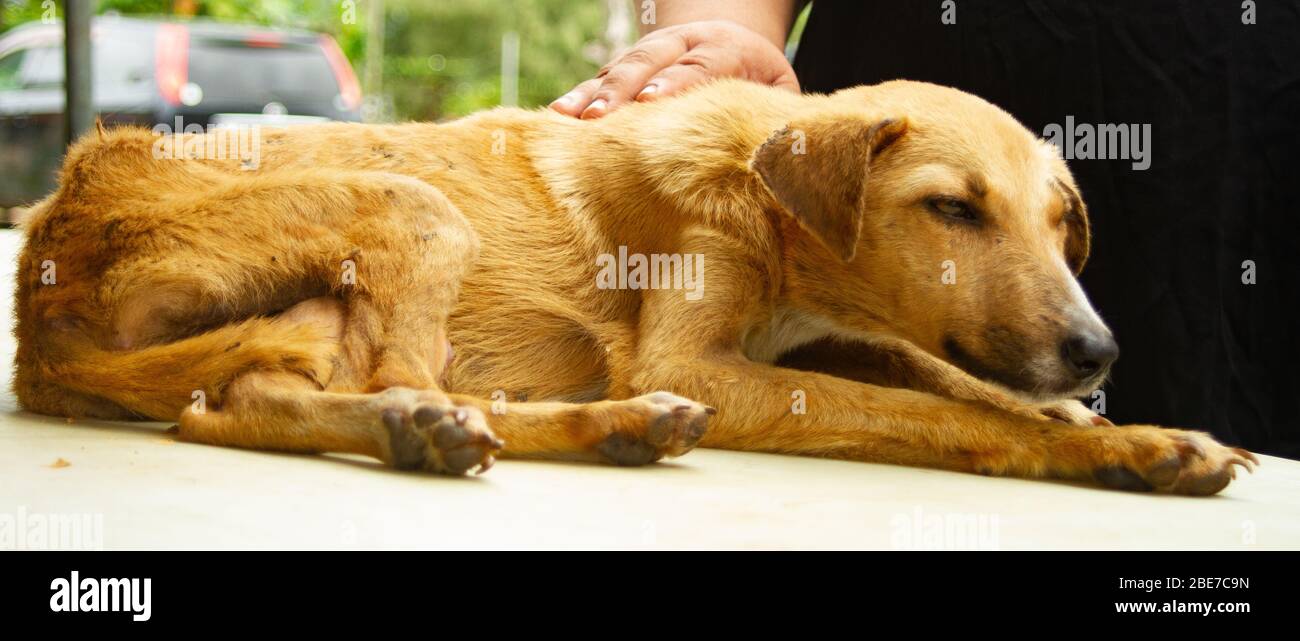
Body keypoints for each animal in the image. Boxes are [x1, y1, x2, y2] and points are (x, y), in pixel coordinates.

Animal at [10, 77, 1253, 491]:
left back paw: (607, 425)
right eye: (952, 208)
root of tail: (39, 277)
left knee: (249, 398)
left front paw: (1127, 431)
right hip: (416, 208)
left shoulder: (813, 339)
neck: (759, 193)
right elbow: (936, 413)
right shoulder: (704, 355)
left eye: (1059, 224)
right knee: (305, 396)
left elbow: (951, 381)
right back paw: (439, 427)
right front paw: (1105, 444)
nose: (1097, 355)